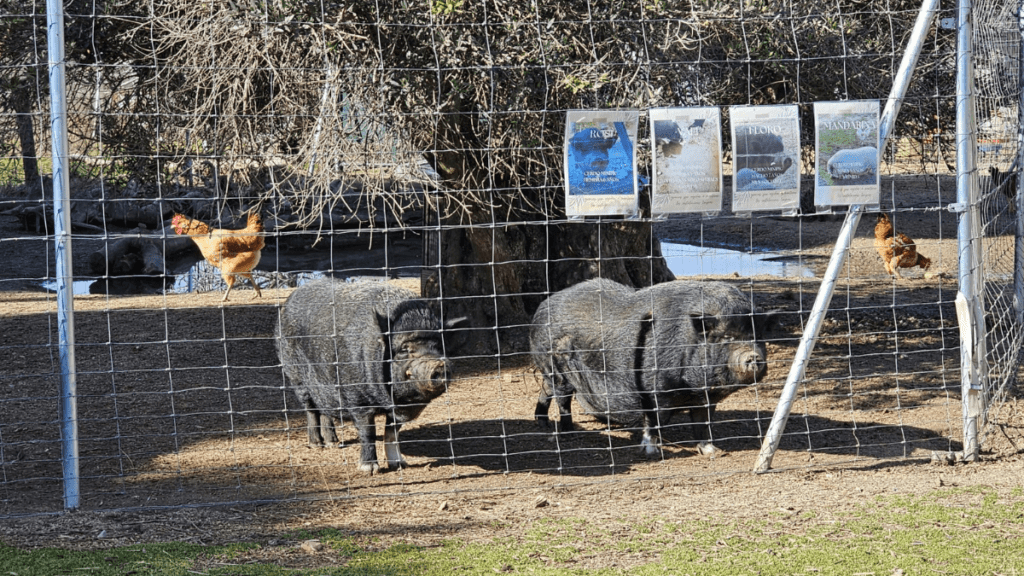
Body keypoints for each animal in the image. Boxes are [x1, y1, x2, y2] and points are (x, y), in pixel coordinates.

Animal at [276, 276, 460, 471]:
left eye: (439, 347)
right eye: (404, 349)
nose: (438, 365)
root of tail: (289, 300)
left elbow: (392, 433)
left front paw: (400, 465)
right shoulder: (358, 399)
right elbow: (368, 431)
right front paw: (369, 469)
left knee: (326, 410)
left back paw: (333, 443)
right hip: (294, 375)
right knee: (310, 409)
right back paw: (317, 445)